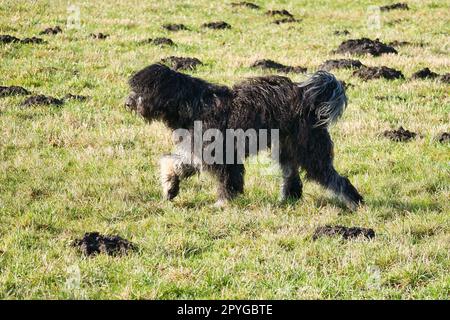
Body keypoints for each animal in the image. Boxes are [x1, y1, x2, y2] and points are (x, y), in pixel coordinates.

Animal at [125, 64, 364, 211]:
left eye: (142, 90)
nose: (127, 103)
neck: (191, 105)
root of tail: (307, 97)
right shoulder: (196, 150)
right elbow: (174, 163)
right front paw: (170, 188)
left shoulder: (219, 155)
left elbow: (227, 181)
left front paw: (222, 203)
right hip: (287, 150)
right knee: (292, 178)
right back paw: (287, 199)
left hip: (311, 152)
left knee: (336, 179)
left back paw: (355, 203)